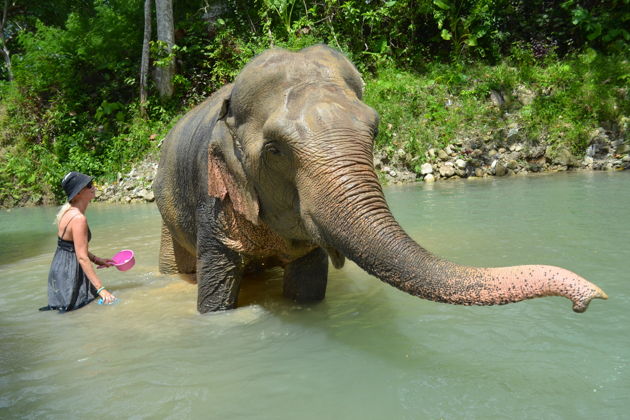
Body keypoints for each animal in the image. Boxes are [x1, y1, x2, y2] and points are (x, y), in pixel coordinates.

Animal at [152, 45, 608, 316]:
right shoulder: (213, 202)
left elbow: (307, 286)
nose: (591, 298)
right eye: (275, 150)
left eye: (374, 129)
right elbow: (216, 295)